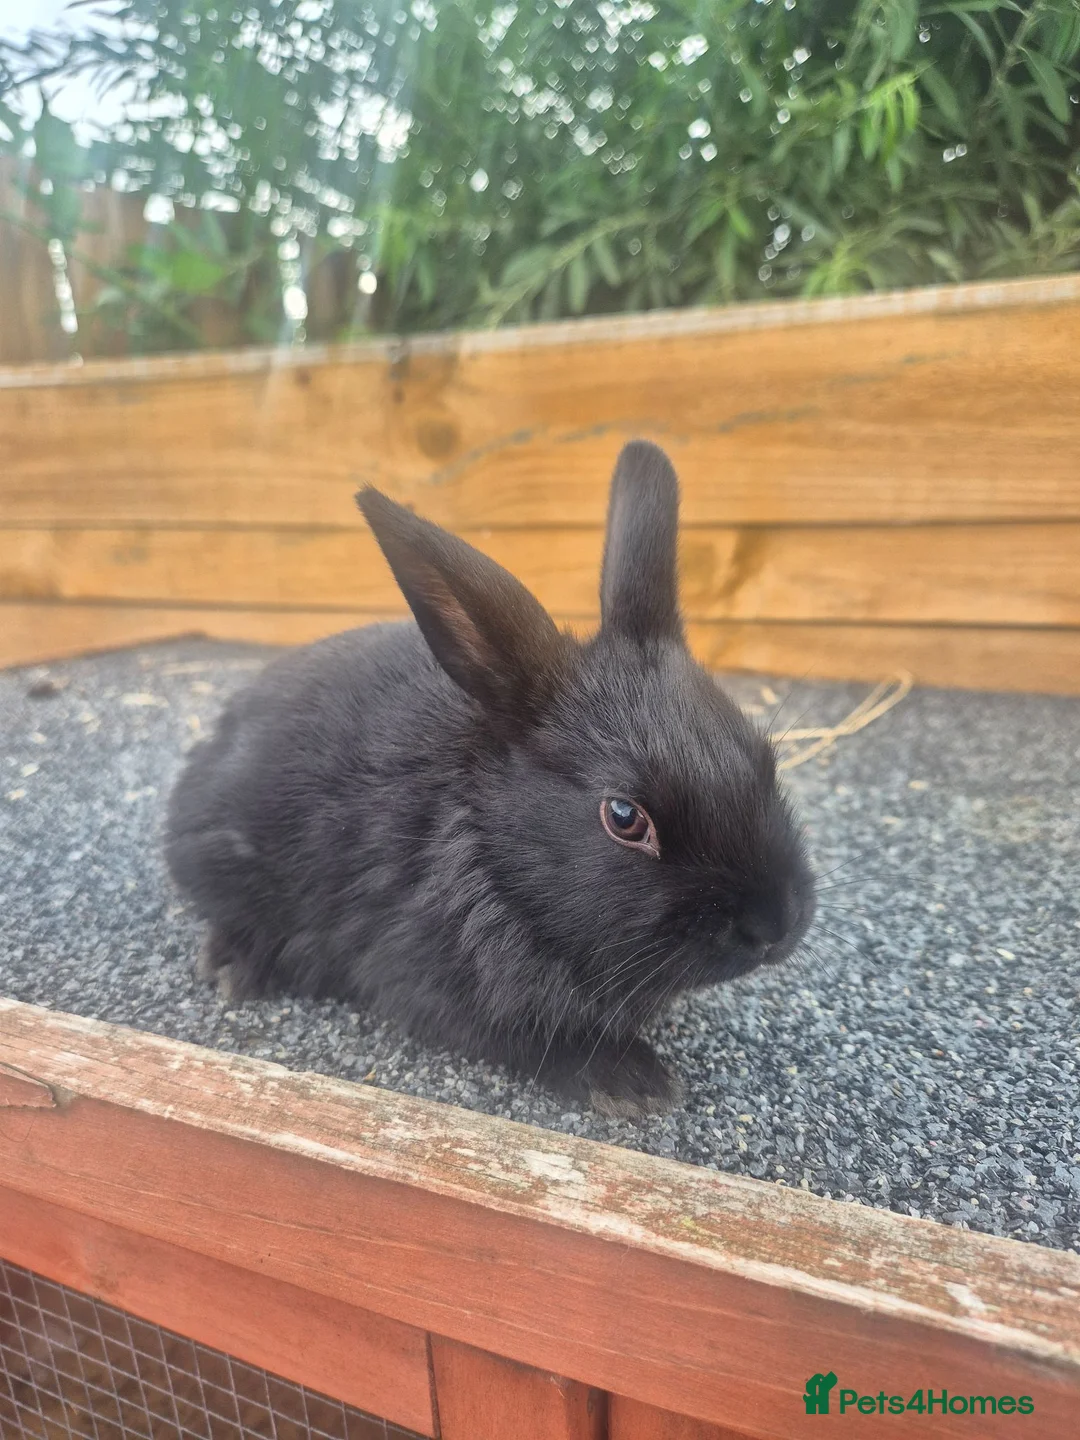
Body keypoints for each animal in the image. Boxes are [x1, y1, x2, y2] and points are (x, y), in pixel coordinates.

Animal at [165, 440, 815, 1119]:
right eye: (624, 818)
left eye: (765, 759)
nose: (774, 927)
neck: (493, 859)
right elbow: (538, 1041)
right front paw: (636, 1083)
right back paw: (231, 967)